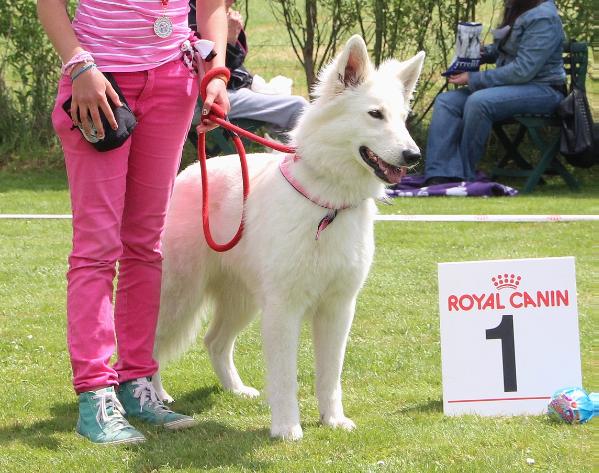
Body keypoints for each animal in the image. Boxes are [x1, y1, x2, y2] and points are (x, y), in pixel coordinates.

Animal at [155, 36, 426, 438]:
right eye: (375, 115)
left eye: (402, 118)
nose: (413, 156)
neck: (328, 202)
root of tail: (190, 172)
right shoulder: (284, 310)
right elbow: (285, 377)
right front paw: (286, 428)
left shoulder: (337, 309)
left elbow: (330, 375)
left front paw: (333, 420)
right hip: (181, 297)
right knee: (149, 344)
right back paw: (154, 396)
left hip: (242, 301)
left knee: (214, 341)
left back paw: (236, 390)